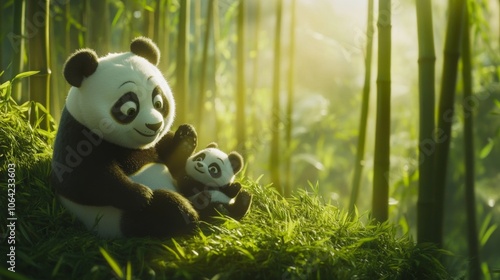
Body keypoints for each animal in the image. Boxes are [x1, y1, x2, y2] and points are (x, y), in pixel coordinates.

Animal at [50, 37, 199, 238]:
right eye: (129, 109)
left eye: (158, 102)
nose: (154, 125)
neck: (133, 147)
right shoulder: (78, 134)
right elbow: (79, 177)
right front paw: (141, 194)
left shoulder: (155, 145)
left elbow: (172, 156)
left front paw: (186, 138)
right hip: (116, 220)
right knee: (164, 210)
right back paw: (188, 215)